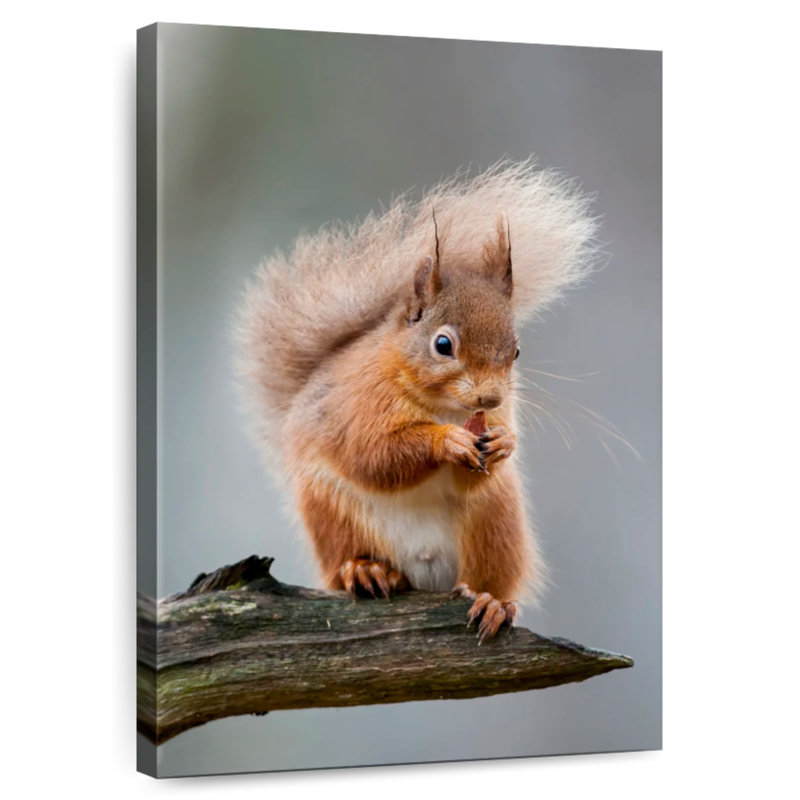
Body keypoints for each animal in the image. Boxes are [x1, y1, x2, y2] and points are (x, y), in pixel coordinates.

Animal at [235, 159, 598, 640]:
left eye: (517, 351)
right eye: (443, 345)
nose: (490, 397)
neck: (444, 408)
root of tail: (426, 577)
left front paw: (505, 443)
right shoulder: (360, 405)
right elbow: (375, 455)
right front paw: (447, 442)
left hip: (495, 521)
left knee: (489, 575)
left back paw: (491, 601)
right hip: (331, 514)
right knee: (345, 563)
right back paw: (366, 570)